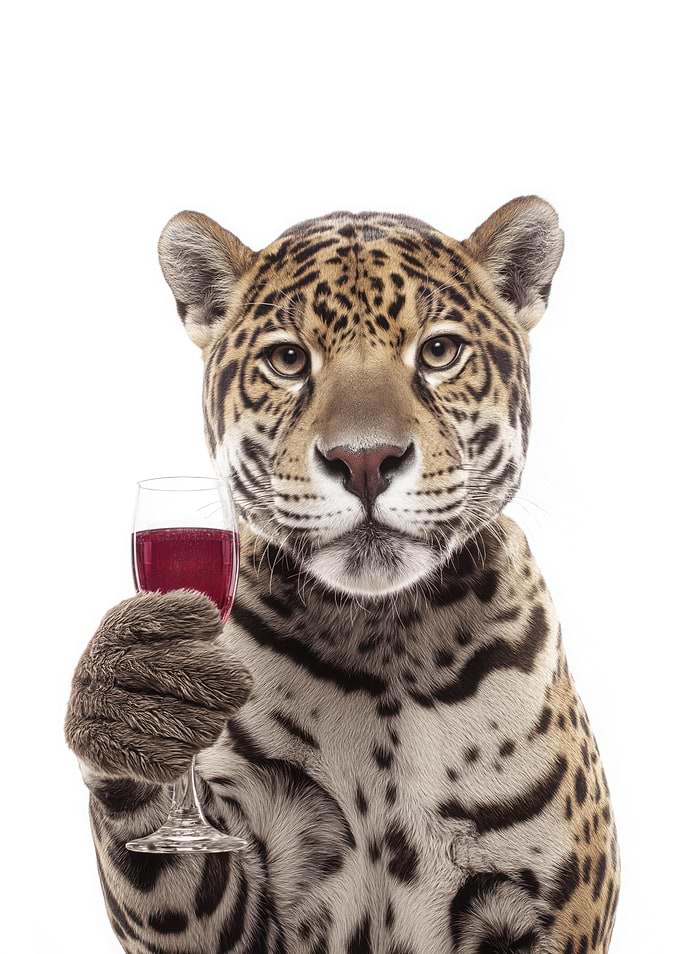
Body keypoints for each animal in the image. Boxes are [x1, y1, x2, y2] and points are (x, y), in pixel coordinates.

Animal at [65, 196, 620, 954]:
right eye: (288, 359)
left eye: (439, 353)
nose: (365, 460)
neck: (383, 634)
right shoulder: (241, 906)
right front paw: (132, 696)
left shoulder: (545, 906)